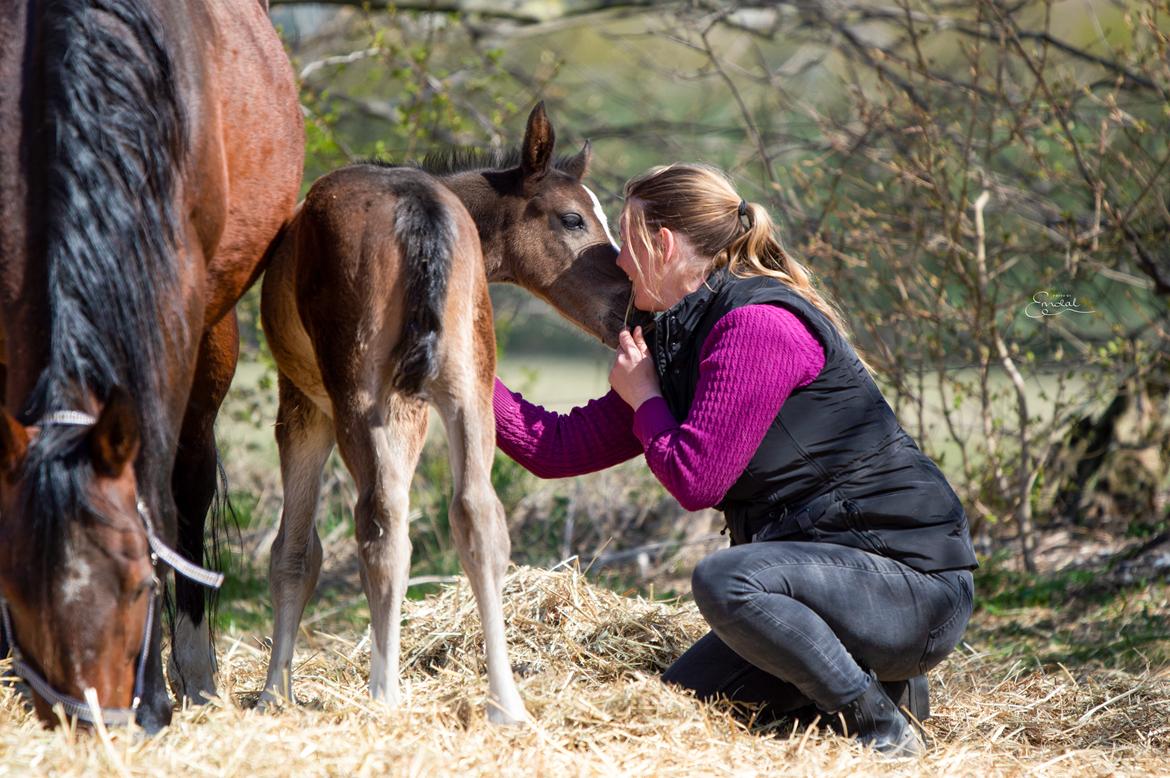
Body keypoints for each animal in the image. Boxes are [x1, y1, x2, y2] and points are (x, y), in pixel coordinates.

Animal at [0, 0, 306, 730]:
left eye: (141, 585)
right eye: (18, 593)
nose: (89, 720)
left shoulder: (178, 304)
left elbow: (164, 495)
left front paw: (164, 690)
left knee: (191, 488)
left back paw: (196, 673)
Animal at [259, 104, 631, 720]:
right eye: (574, 219)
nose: (631, 306)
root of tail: (420, 211)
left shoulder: (304, 405)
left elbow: (295, 552)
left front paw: (273, 695)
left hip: (364, 397)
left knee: (382, 523)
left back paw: (384, 695)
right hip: (467, 385)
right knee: (478, 515)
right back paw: (506, 704)